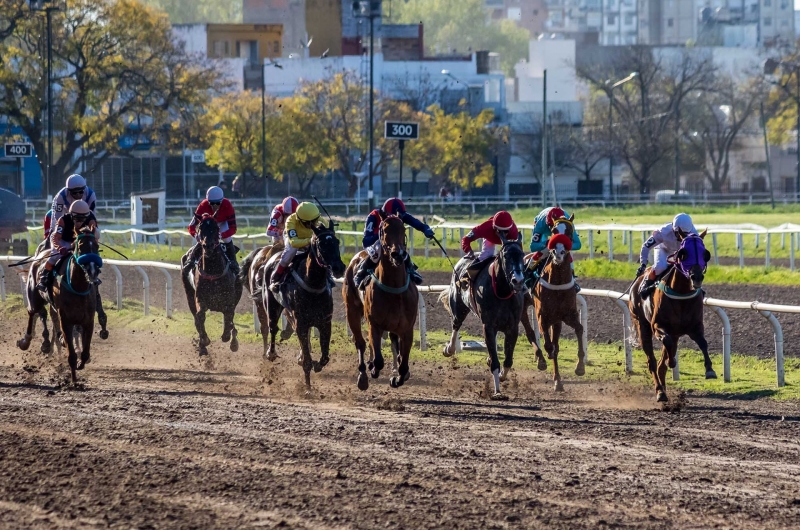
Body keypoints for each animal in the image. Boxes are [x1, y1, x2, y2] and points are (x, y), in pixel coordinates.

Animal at [182, 214, 242, 354]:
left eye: (216, 228)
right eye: (200, 227)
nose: (207, 246)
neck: (213, 270)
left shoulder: (230, 300)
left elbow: (229, 317)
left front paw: (230, 339)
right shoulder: (200, 298)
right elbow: (200, 316)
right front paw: (204, 340)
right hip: (189, 294)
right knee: (196, 318)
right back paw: (202, 347)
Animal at [258, 219, 342, 388]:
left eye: (337, 242)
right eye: (321, 244)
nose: (339, 268)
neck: (313, 285)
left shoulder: (325, 322)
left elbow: (325, 357)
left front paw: (317, 364)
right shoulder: (301, 322)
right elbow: (307, 362)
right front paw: (308, 388)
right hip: (271, 305)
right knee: (272, 328)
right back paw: (271, 353)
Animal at [342, 212, 418, 390]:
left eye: (403, 228)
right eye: (383, 230)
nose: (398, 254)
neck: (394, 288)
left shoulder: (407, 328)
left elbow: (404, 364)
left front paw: (397, 378)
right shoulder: (374, 324)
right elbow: (378, 359)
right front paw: (373, 368)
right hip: (352, 311)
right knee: (360, 343)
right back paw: (363, 375)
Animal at [440, 230, 528, 396]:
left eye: (522, 254)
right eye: (506, 255)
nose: (518, 281)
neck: (502, 291)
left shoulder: (512, 327)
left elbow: (508, 360)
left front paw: (502, 375)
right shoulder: (488, 325)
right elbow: (495, 362)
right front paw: (497, 391)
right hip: (459, 306)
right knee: (456, 325)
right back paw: (450, 349)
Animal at [632, 228, 712, 400]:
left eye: (705, 253)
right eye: (683, 253)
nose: (697, 277)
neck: (681, 293)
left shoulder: (695, 326)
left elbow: (703, 343)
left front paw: (710, 370)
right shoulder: (657, 326)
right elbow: (666, 344)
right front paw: (672, 362)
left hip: (675, 332)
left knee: (661, 363)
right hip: (642, 325)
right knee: (652, 361)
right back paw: (660, 391)